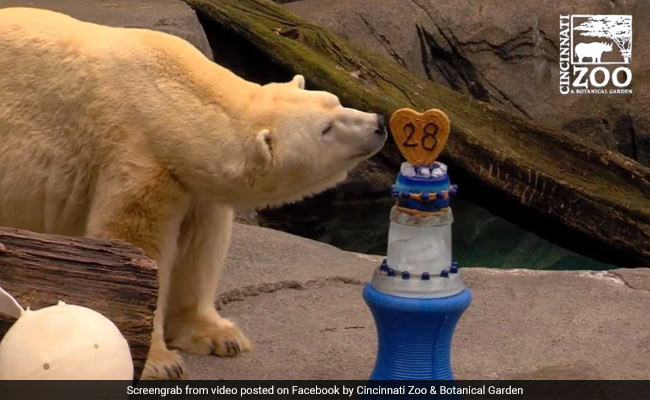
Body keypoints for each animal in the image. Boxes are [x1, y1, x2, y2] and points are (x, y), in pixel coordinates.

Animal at [0, 8, 384, 378]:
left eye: (336, 101)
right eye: (326, 129)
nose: (379, 123)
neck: (166, 102)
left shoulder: (195, 186)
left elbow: (199, 248)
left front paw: (220, 336)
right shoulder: (137, 155)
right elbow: (138, 246)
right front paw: (159, 360)